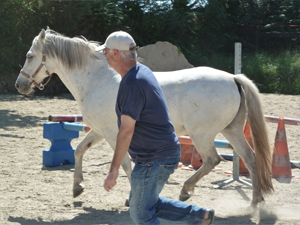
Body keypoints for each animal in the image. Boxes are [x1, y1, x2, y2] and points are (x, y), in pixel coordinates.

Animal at [15, 27, 274, 207]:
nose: (20, 85)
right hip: (232, 131)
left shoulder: (113, 134)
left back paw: (185, 190)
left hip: (202, 134)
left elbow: (124, 164)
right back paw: (255, 202)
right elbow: (79, 150)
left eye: (29, 56)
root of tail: (233, 78)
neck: (96, 79)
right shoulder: (99, 131)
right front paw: (77, 187)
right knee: (251, 160)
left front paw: (131, 198)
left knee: (213, 160)